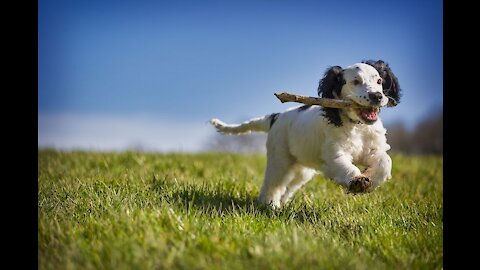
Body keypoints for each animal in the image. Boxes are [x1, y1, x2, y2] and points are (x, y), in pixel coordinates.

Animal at [210, 60, 402, 208]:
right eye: (355, 81)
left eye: (379, 80)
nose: (377, 96)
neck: (357, 126)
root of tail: (276, 116)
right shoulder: (334, 154)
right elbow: (346, 166)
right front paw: (357, 181)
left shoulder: (374, 149)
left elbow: (386, 161)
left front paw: (370, 179)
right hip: (280, 159)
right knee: (273, 184)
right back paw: (270, 205)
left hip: (302, 170)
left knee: (288, 187)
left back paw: (282, 204)